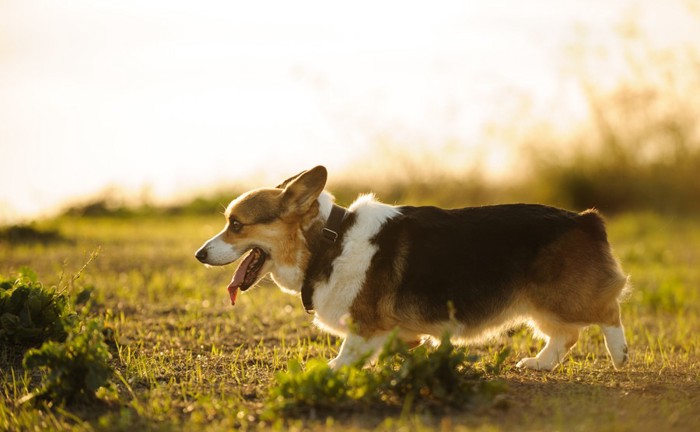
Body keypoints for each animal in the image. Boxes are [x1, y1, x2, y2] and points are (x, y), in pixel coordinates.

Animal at [196, 165, 628, 372]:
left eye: (236, 224)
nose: (199, 255)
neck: (327, 243)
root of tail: (587, 220)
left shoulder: (364, 327)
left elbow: (345, 354)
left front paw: (327, 369)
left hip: (563, 297)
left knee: (608, 312)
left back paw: (620, 354)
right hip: (540, 304)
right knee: (565, 336)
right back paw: (540, 363)